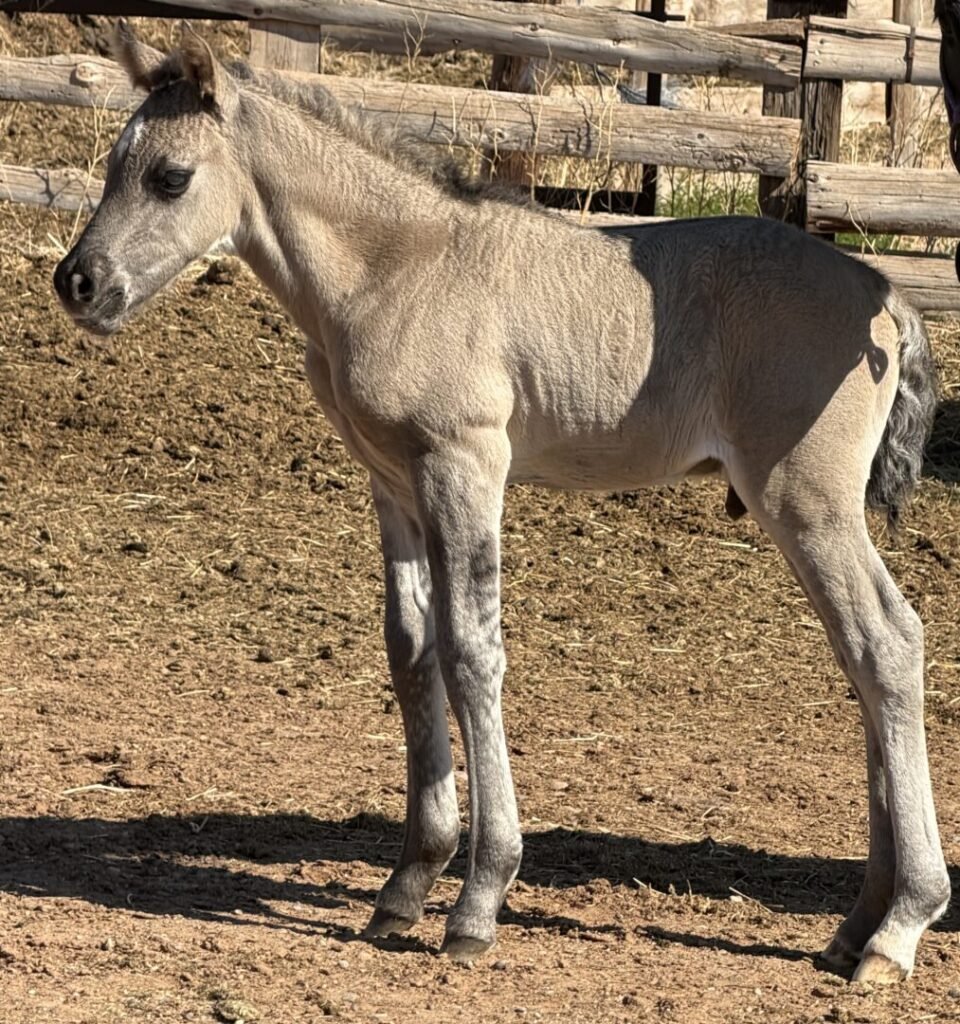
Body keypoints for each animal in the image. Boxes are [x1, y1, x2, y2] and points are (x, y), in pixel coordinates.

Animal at [53, 24, 949, 983]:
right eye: (113, 162)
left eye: (170, 176)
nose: (79, 282)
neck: (395, 264)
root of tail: (887, 299)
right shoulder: (394, 481)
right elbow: (411, 650)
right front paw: (407, 884)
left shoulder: (466, 463)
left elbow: (472, 652)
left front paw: (479, 897)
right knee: (861, 658)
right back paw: (856, 925)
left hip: (805, 499)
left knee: (890, 643)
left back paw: (899, 927)